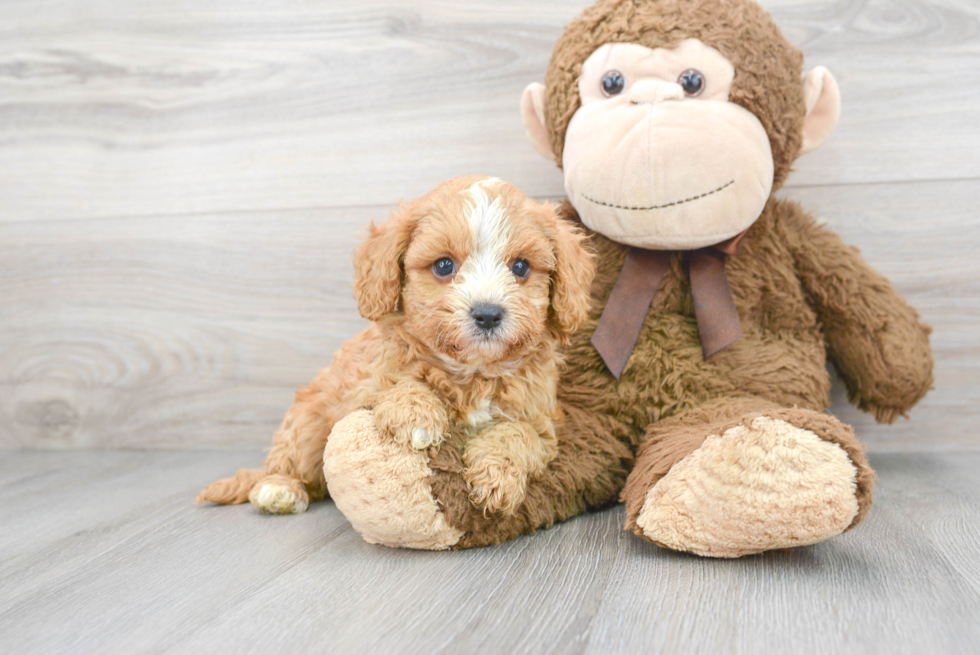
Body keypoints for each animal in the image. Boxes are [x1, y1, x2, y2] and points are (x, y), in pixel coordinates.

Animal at [198, 177, 592, 520]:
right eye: (444, 265)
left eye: (521, 266)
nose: (487, 314)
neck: (471, 371)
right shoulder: (360, 386)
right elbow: (398, 383)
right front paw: (416, 413)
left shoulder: (542, 422)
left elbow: (518, 434)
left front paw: (496, 478)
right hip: (308, 421)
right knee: (292, 462)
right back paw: (279, 489)